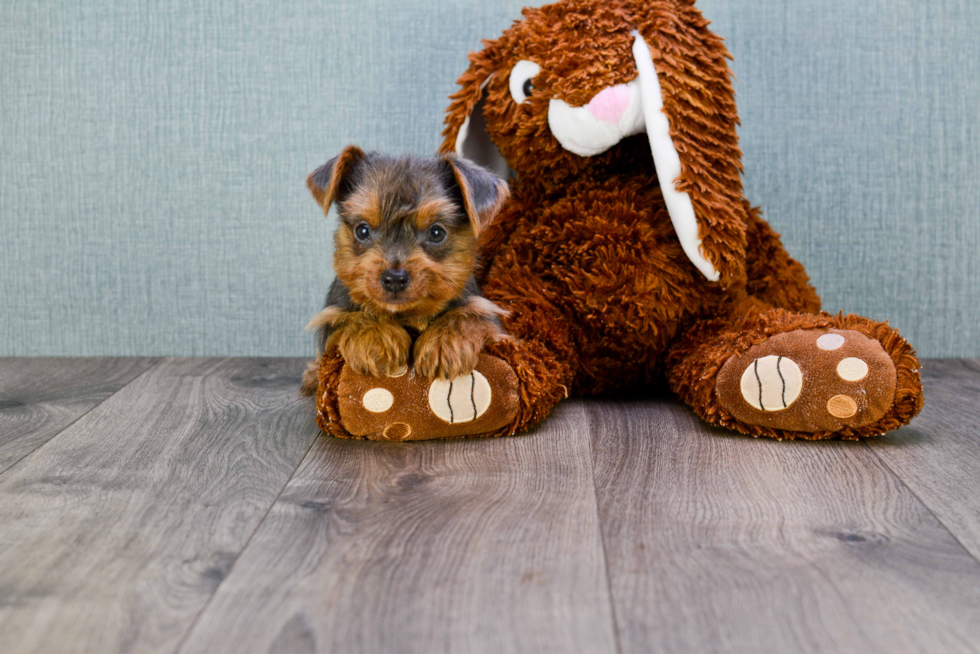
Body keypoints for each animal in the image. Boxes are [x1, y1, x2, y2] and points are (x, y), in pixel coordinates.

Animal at [302, 147, 510, 394]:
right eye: (362, 230)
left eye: (436, 233)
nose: (394, 278)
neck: (407, 314)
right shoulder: (331, 316)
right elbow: (348, 318)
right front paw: (375, 336)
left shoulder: (487, 315)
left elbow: (471, 315)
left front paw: (446, 340)